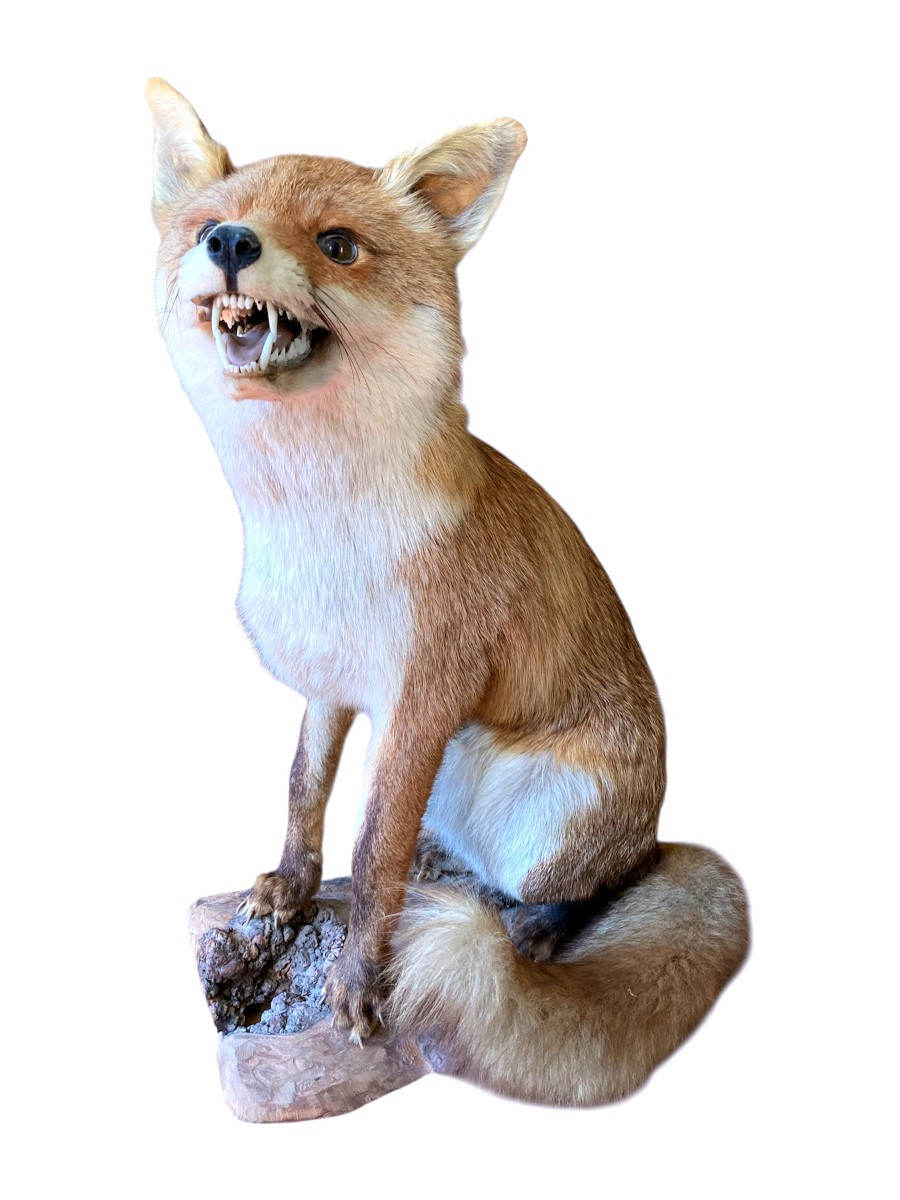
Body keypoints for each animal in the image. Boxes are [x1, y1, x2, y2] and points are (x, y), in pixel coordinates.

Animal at [147, 78, 750, 1107]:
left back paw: (539, 928)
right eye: (208, 225)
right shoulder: (333, 686)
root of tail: (660, 830)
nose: (229, 244)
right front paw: (287, 891)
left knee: (604, 882)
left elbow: (373, 855)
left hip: (551, 816)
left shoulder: (422, 697)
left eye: (339, 244)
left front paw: (357, 986)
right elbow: (305, 794)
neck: (314, 530)